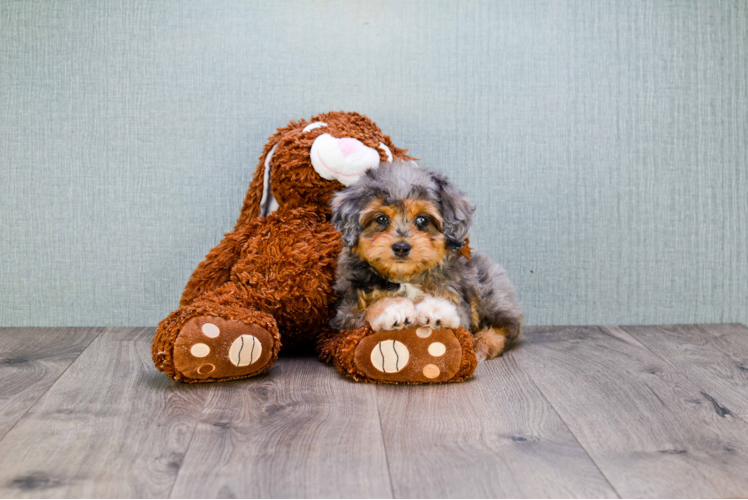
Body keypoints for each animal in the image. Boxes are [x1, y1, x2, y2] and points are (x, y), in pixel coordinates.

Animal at [330, 162, 524, 362]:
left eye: (422, 219)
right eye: (381, 218)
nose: (401, 247)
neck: (405, 276)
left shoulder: (458, 299)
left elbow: (456, 315)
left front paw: (435, 310)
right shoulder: (346, 311)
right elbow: (367, 309)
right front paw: (393, 308)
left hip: (487, 285)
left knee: (509, 326)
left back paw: (485, 343)